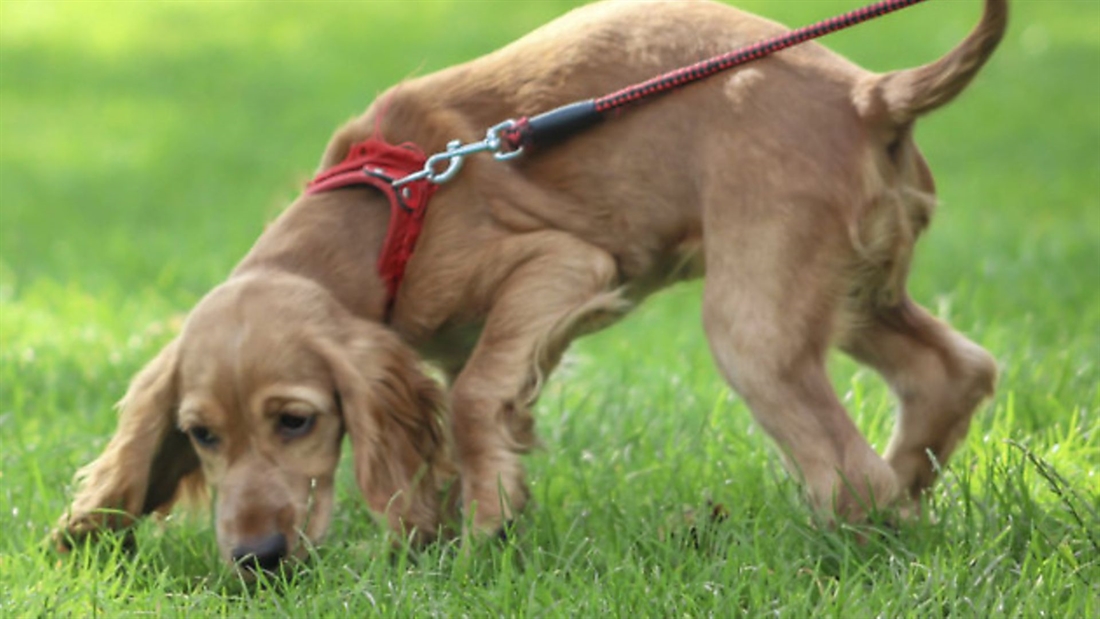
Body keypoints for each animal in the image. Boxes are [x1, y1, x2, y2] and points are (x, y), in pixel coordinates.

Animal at [58, 0, 1007, 571]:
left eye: (296, 420)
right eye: (201, 436)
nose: (256, 557)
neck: (385, 210)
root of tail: (873, 94)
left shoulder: (564, 265)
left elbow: (476, 397)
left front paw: (483, 539)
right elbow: (456, 418)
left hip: (755, 326)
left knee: (851, 477)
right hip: (847, 292)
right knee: (951, 372)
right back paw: (911, 504)